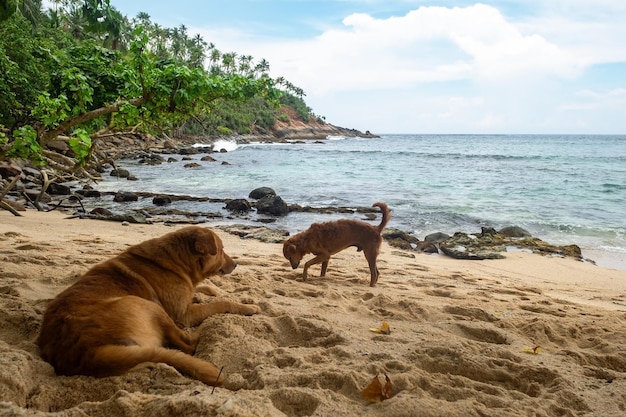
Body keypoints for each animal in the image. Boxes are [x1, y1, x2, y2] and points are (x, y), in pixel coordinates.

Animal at [37, 226, 258, 386]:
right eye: (221, 250)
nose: (236, 264)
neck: (177, 261)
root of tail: (88, 352)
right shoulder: (184, 314)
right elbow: (221, 303)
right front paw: (247, 307)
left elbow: (206, 289)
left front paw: (215, 291)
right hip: (145, 304)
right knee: (188, 343)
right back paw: (209, 327)